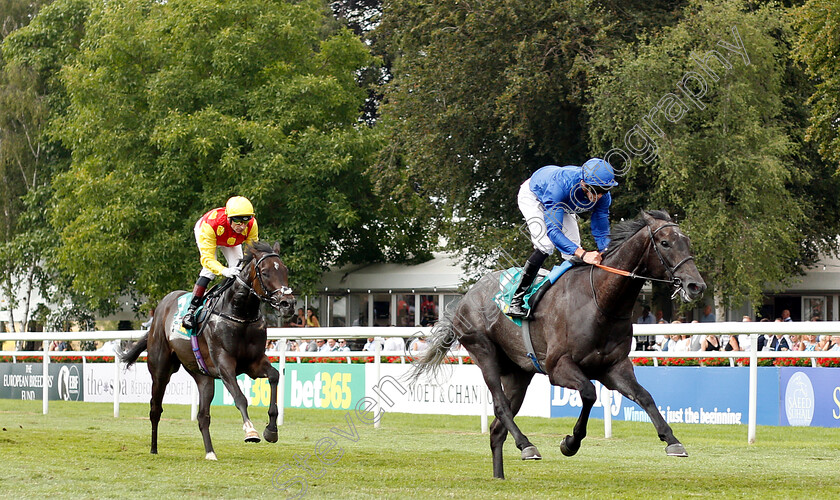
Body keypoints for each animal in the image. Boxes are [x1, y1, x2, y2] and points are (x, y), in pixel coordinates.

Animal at [120, 242, 296, 460]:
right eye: (265, 273)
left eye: (285, 270)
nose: (288, 304)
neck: (240, 313)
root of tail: (163, 305)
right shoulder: (224, 364)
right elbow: (240, 397)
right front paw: (250, 431)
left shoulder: (254, 363)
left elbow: (274, 377)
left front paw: (271, 430)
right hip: (161, 369)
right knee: (155, 408)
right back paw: (153, 448)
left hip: (202, 375)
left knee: (203, 415)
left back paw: (210, 452)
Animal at [414, 209, 704, 478]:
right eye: (665, 243)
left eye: (687, 241)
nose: (696, 286)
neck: (600, 301)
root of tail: (465, 298)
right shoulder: (558, 366)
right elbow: (589, 392)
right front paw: (570, 443)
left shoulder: (614, 368)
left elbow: (644, 396)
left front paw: (672, 440)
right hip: (484, 353)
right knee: (501, 407)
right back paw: (527, 446)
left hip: (519, 373)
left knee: (497, 429)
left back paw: (500, 477)